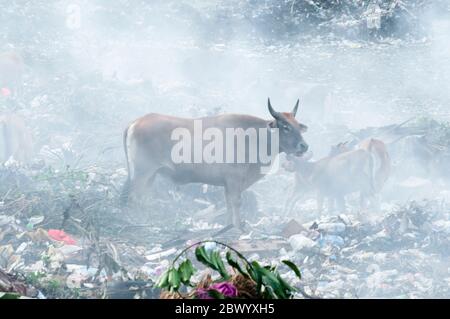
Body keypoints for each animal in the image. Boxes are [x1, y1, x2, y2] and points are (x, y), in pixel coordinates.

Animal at [120, 99, 310, 229]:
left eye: (297, 126)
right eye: (285, 127)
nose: (304, 146)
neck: (252, 137)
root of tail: (137, 121)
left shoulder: (228, 184)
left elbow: (228, 203)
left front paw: (228, 224)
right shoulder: (234, 180)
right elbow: (236, 202)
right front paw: (238, 226)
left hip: (150, 175)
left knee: (143, 197)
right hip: (143, 173)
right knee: (134, 197)